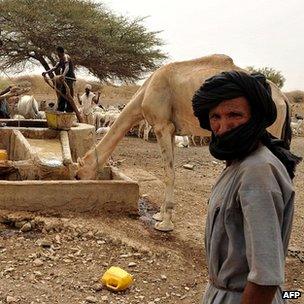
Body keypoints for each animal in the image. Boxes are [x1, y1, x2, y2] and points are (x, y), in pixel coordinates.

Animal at [75, 54, 290, 230]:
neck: (146, 91)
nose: (77, 177)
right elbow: (169, 170)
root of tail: (284, 99)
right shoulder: (171, 130)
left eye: (79, 170)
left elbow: (168, 173)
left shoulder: (162, 125)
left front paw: (165, 223)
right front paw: (160, 214)